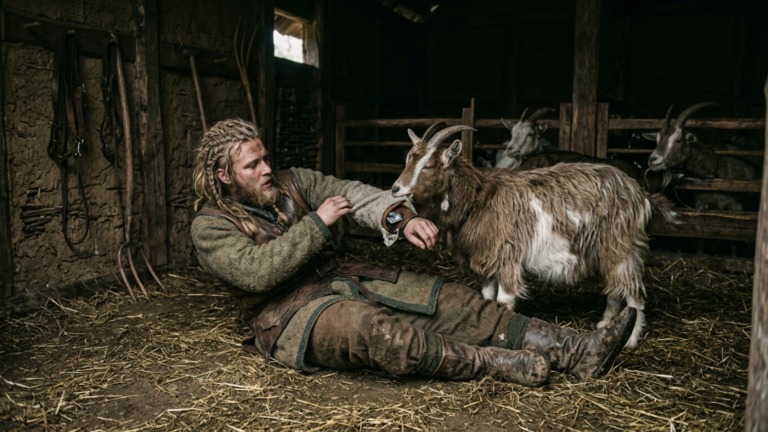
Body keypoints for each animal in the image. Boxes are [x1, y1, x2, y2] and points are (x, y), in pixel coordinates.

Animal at [392, 122, 677, 349]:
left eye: (428, 166)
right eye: (407, 159)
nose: (395, 189)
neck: (478, 200)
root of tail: (640, 193)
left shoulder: (507, 260)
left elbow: (503, 302)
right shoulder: (488, 261)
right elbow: (487, 301)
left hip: (621, 246)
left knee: (633, 293)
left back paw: (630, 340)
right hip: (609, 251)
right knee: (615, 287)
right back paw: (606, 324)